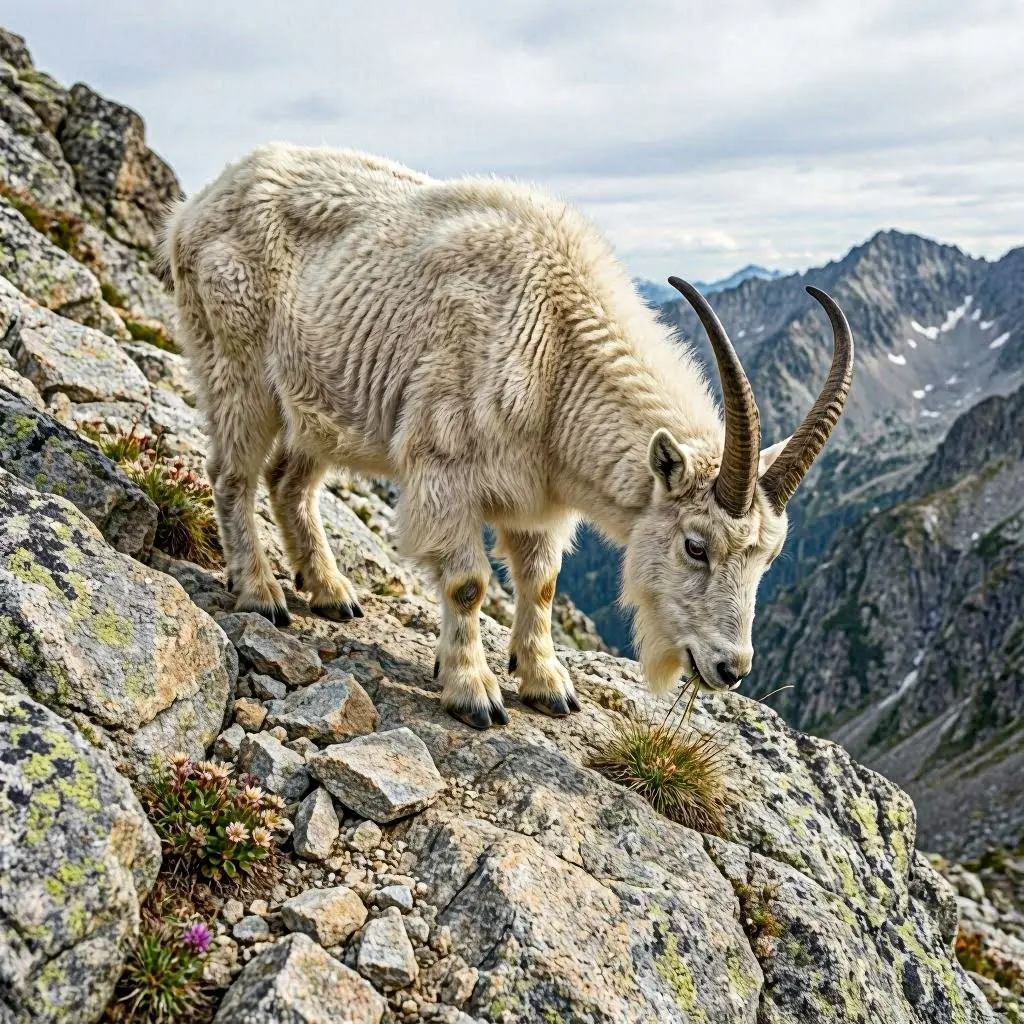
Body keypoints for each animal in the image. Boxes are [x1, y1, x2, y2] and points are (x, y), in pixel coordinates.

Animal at [162, 143, 853, 729]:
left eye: (767, 558)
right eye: (696, 546)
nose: (730, 669)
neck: (557, 350)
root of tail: (196, 205)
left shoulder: (540, 501)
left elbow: (541, 583)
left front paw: (547, 684)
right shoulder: (442, 469)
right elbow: (468, 585)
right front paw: (473, 691)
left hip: (316, 405)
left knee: (288, 480)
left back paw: (331, 593)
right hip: (237, 365)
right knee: (233, 472)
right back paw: (261, 591)